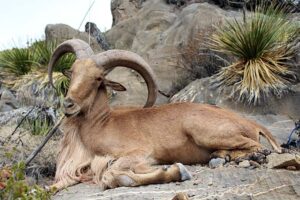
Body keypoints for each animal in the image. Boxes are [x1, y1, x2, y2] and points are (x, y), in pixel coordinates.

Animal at [47, 38, 282, 191]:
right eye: (73, 71)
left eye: (97, 78)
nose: (69, 104)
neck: (103, 123)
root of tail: (252, 123)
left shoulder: (140, 152)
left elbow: (112, 173)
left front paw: (175, 171)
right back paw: (221, 156)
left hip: (205, 132)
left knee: (257, 146)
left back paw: (248, 156)